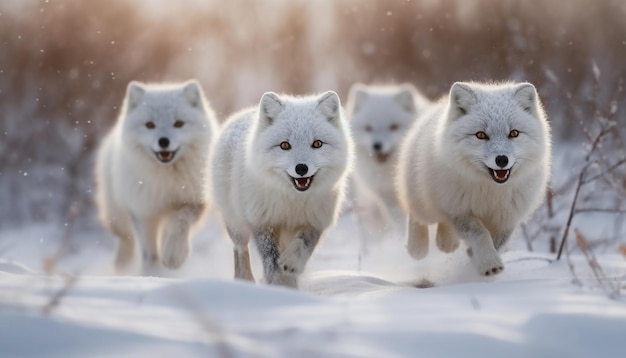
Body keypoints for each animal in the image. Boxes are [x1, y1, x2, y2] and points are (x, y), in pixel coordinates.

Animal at [94, 79, 218, 276]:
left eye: (178, 123)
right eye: (150, 125)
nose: (163, 141)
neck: (166, 181)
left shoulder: (194, 200)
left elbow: (179, 224)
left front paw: (173, 257)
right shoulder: (143, 211)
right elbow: (149, 252)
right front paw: (151, 273)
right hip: (117, 211)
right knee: (125, 237)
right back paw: (122, 266)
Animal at [212, 91, 354, 288]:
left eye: (317, 144)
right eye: (285, 145)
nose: (301, 168)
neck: (292, 201)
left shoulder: (315, 221)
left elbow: (303, 245)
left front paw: (291, 266)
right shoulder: (262, 222)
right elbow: (271, 259)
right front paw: (279, 284)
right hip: (236, 224)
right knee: (240, 250)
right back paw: (245, 281)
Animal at [398, 82, 548, 276]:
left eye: (514, 133)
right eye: (481, 135)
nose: (502, 160)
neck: (491, 192)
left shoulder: (507, 218)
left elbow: (498, 242)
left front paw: (475, 256)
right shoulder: (460, 211)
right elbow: (480, 233)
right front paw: (489, 263)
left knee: (444, 224)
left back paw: (446, 243)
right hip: (428, 203)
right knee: (418, 216)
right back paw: (417, 248)